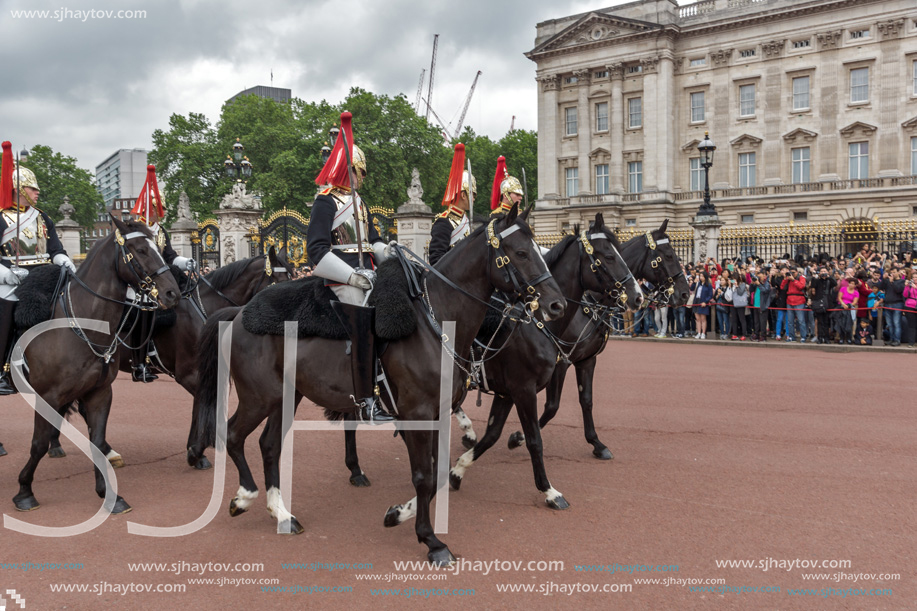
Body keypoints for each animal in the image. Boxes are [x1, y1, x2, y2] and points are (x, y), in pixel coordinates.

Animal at [12, 218, 180, 512]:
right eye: (140, 250)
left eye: (160, 249)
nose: (173, 293)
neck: (83, 325)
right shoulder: (47, 394)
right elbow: (37, 444)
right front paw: (24, 491)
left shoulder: (98, 392)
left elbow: (97, 441)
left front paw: (109, 495)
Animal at [44, 246, 292, 470]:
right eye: (278, 281)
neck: (203, 309)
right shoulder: (189, 374)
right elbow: (203, 406)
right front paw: (196, 452)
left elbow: (200, 407)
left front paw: (196, 450)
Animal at [193, 204, 564, 564]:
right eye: (520, 252)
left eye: (539, 251)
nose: (556, 305)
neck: (436, 320)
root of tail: (239, 313)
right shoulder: (418, 412)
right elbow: (425, 476)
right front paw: (431, 541)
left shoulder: (438, 412)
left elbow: (437, 472)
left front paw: (398, 513)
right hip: (260, 397)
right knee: (233, 434)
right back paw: (244, 497)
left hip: (287, 396)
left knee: (269, 445)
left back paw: (282, 513)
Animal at [504, 219, 692, 460]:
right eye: (668, 255)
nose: (685, 294)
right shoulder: (561, 363)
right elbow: (552, 406)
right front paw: (518, 437)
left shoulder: (587, 360)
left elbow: (586, 400)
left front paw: (596, 443)